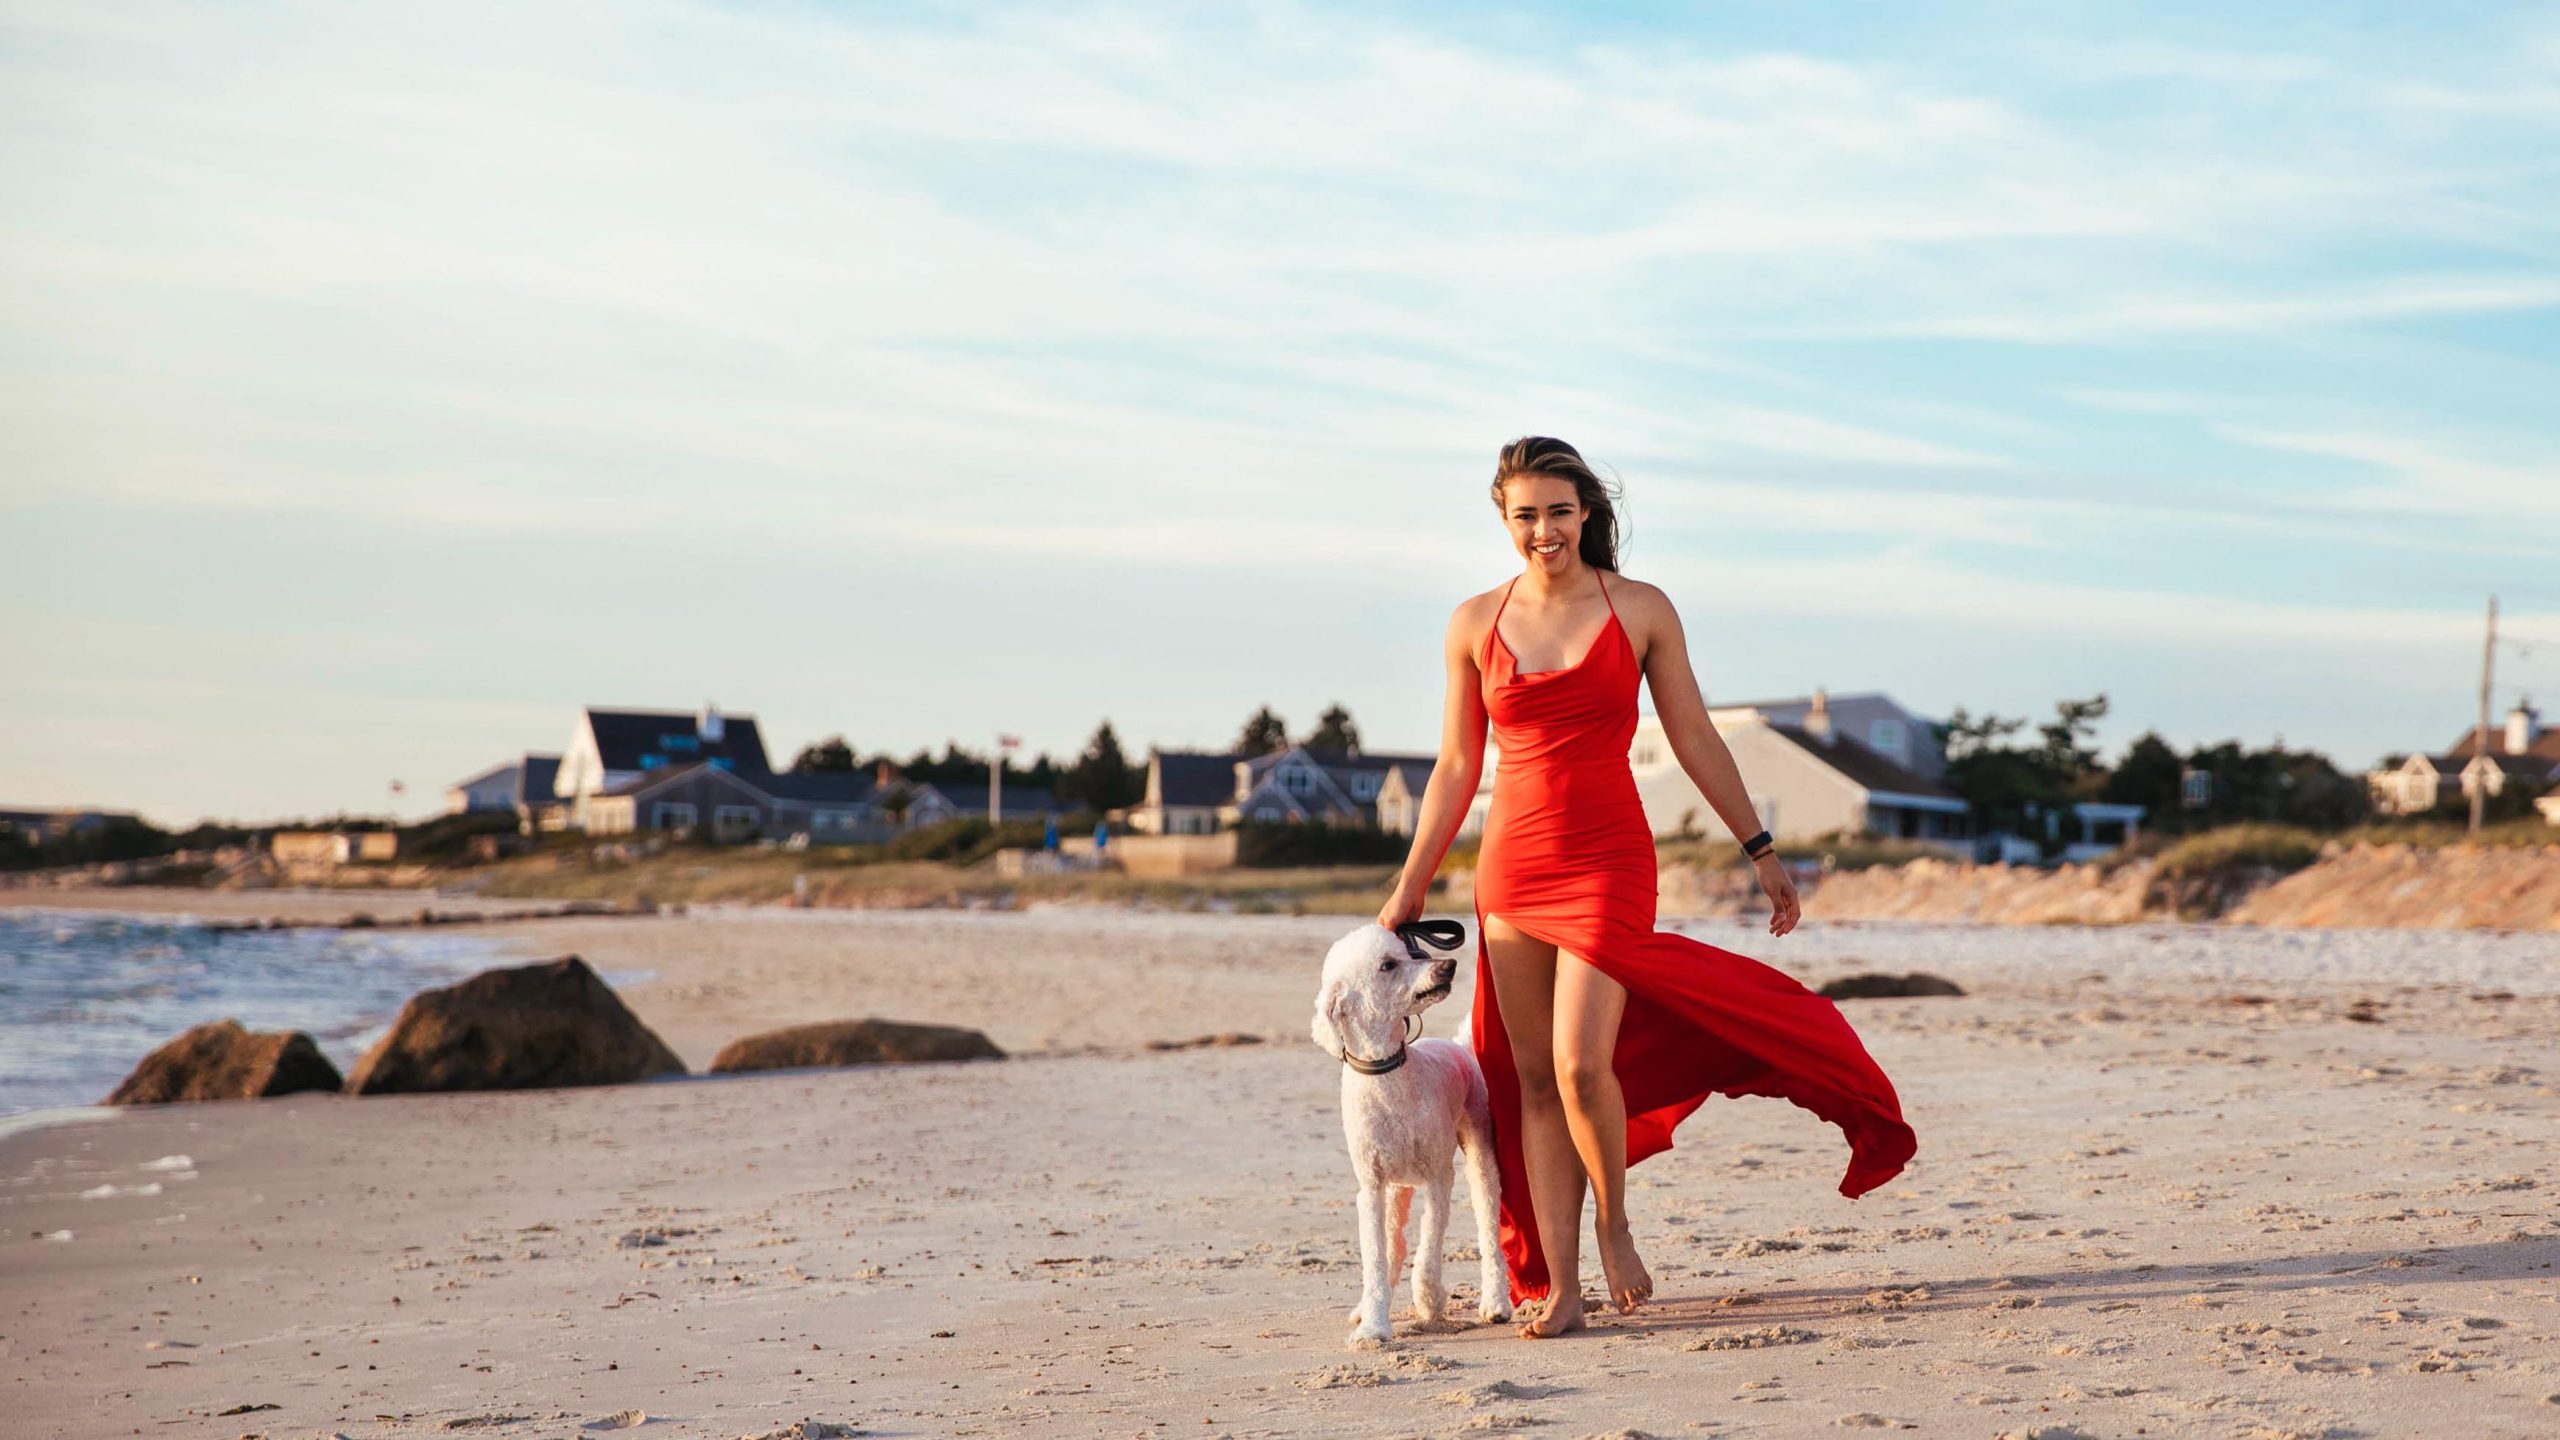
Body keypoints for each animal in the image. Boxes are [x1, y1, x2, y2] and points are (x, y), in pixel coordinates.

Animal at [1310, 917, 1505, 1342]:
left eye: (1410, 952)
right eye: (1388, 965)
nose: (1447, 966)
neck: (1386, 1072)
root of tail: (1458, 1046)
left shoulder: (1439, 1176)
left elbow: (1430, 1248)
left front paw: (1430, 1301)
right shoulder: (1370, 1187)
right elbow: (1375, 1257)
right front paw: (1373, 1325)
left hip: (1480, 1153)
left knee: (1489, 1230)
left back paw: (1496, 1302)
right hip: (1395, 1186)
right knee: (1394, 1244)